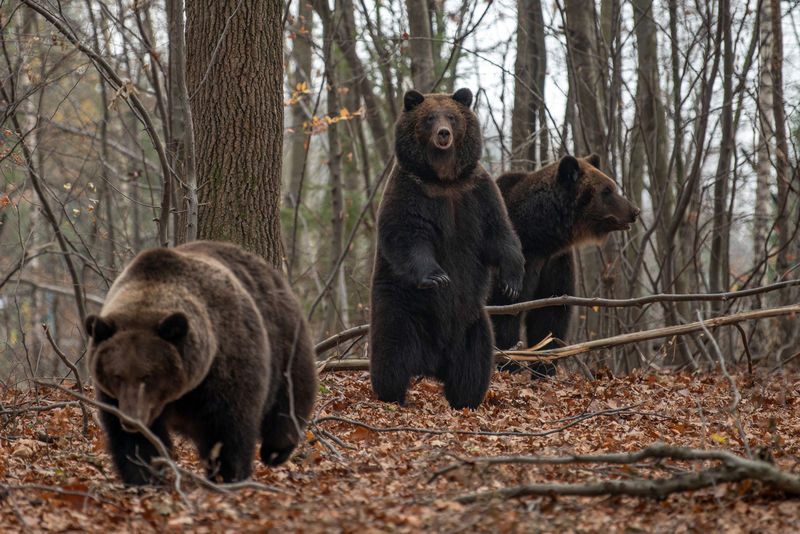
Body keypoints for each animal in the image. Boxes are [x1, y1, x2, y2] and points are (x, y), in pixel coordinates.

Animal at [83, 242, 316, 486]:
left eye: (147, 376)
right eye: (117, 375)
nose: (132, 420)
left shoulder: (225, 365)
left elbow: (227, 430)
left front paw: (227, 475)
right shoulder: (115, 397)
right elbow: (133, 442)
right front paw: (143, 477)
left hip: (284, 340)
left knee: (291, 395)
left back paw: (276, 451)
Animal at [370, 88, 524, 410]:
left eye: (451, 117)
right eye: (429, 117)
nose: (443, 134)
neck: (443, 179)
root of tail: (431, 365)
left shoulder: (476, 192)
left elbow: (500, 233)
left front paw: (512, 282)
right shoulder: (411, 190)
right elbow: (407, 235)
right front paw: (437, 277)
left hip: (471, 324)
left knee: (475, 363)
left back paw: (466, 400)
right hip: (400, 309)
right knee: (391, 354)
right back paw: (391, 396)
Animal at [484, 155, 640, 378]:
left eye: (613, 187)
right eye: (607, 190)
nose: (635, 211)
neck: (539, 236)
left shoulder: (555, 263)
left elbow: (551, 315)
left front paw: (544, 367)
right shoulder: (516, 260)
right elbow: (505, 312)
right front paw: (508, 364)